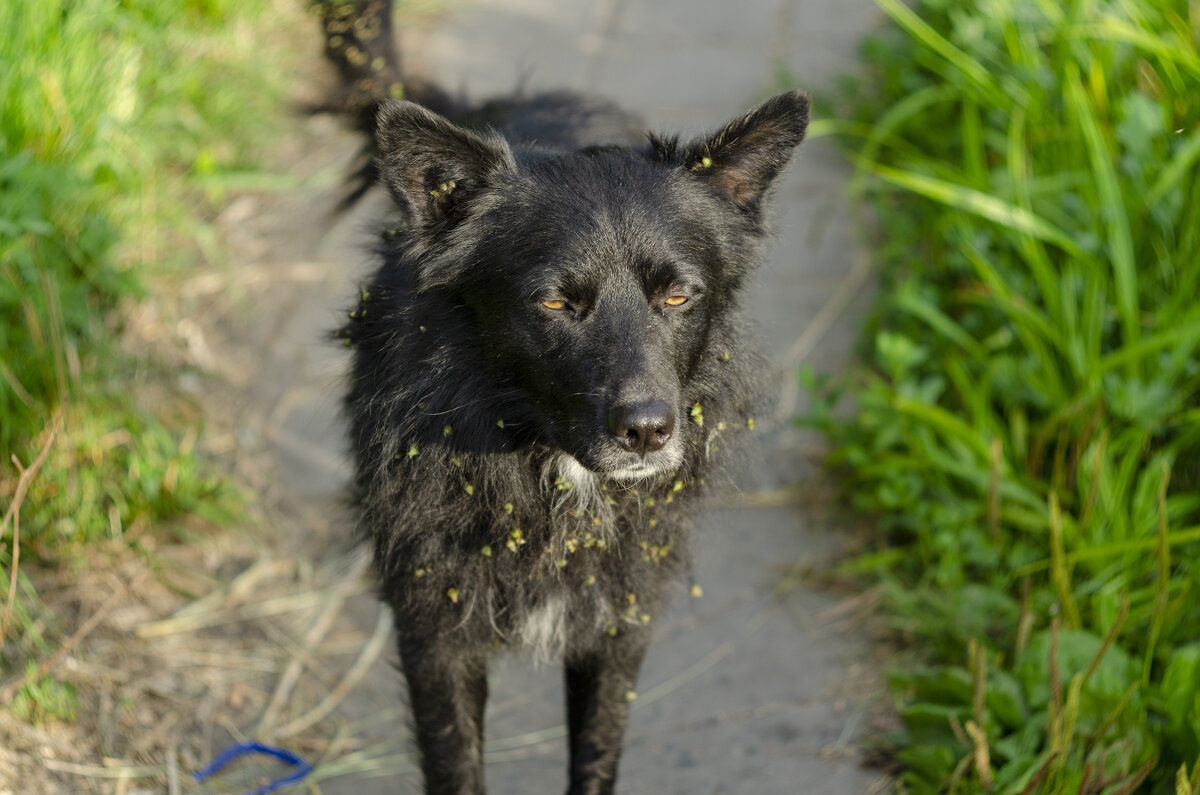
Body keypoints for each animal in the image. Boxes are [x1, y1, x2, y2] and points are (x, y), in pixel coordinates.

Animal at [333, 18, 811, 795]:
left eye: (678, 295)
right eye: (555, 303)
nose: (647, 433)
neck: (552, 469)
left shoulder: (618, 619)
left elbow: (596, 754)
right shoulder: (434, 626)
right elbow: (456, 761)